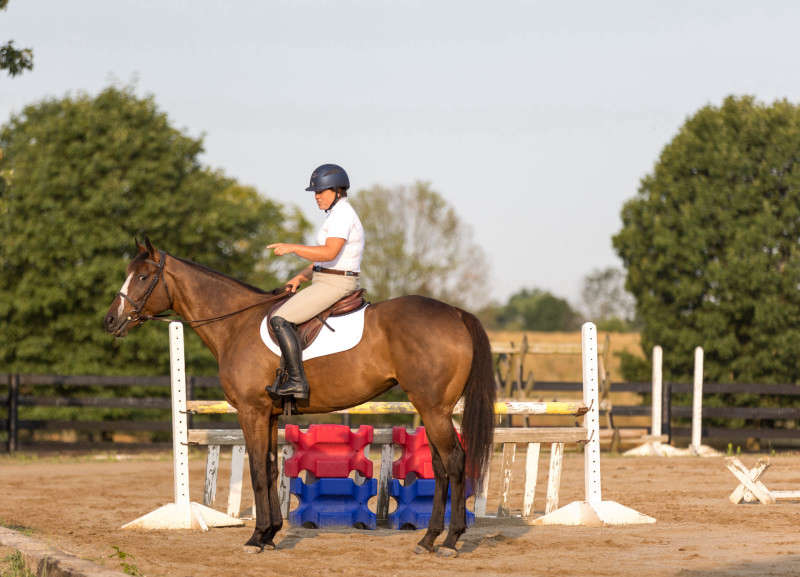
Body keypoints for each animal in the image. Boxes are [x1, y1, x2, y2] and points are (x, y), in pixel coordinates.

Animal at [104, 238, 494, 552]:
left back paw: (450, 541)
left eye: (142, 277)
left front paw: (256, 538)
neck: (235, 324)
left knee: (455, 462)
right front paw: (271, 533)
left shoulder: (251, 411)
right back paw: (428, 539)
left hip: (434, 408)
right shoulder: (269, 414)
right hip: (432, 409)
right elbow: (271, 467)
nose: (111, 321)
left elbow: (258, 470)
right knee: (442, 467)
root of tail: (455, 313)